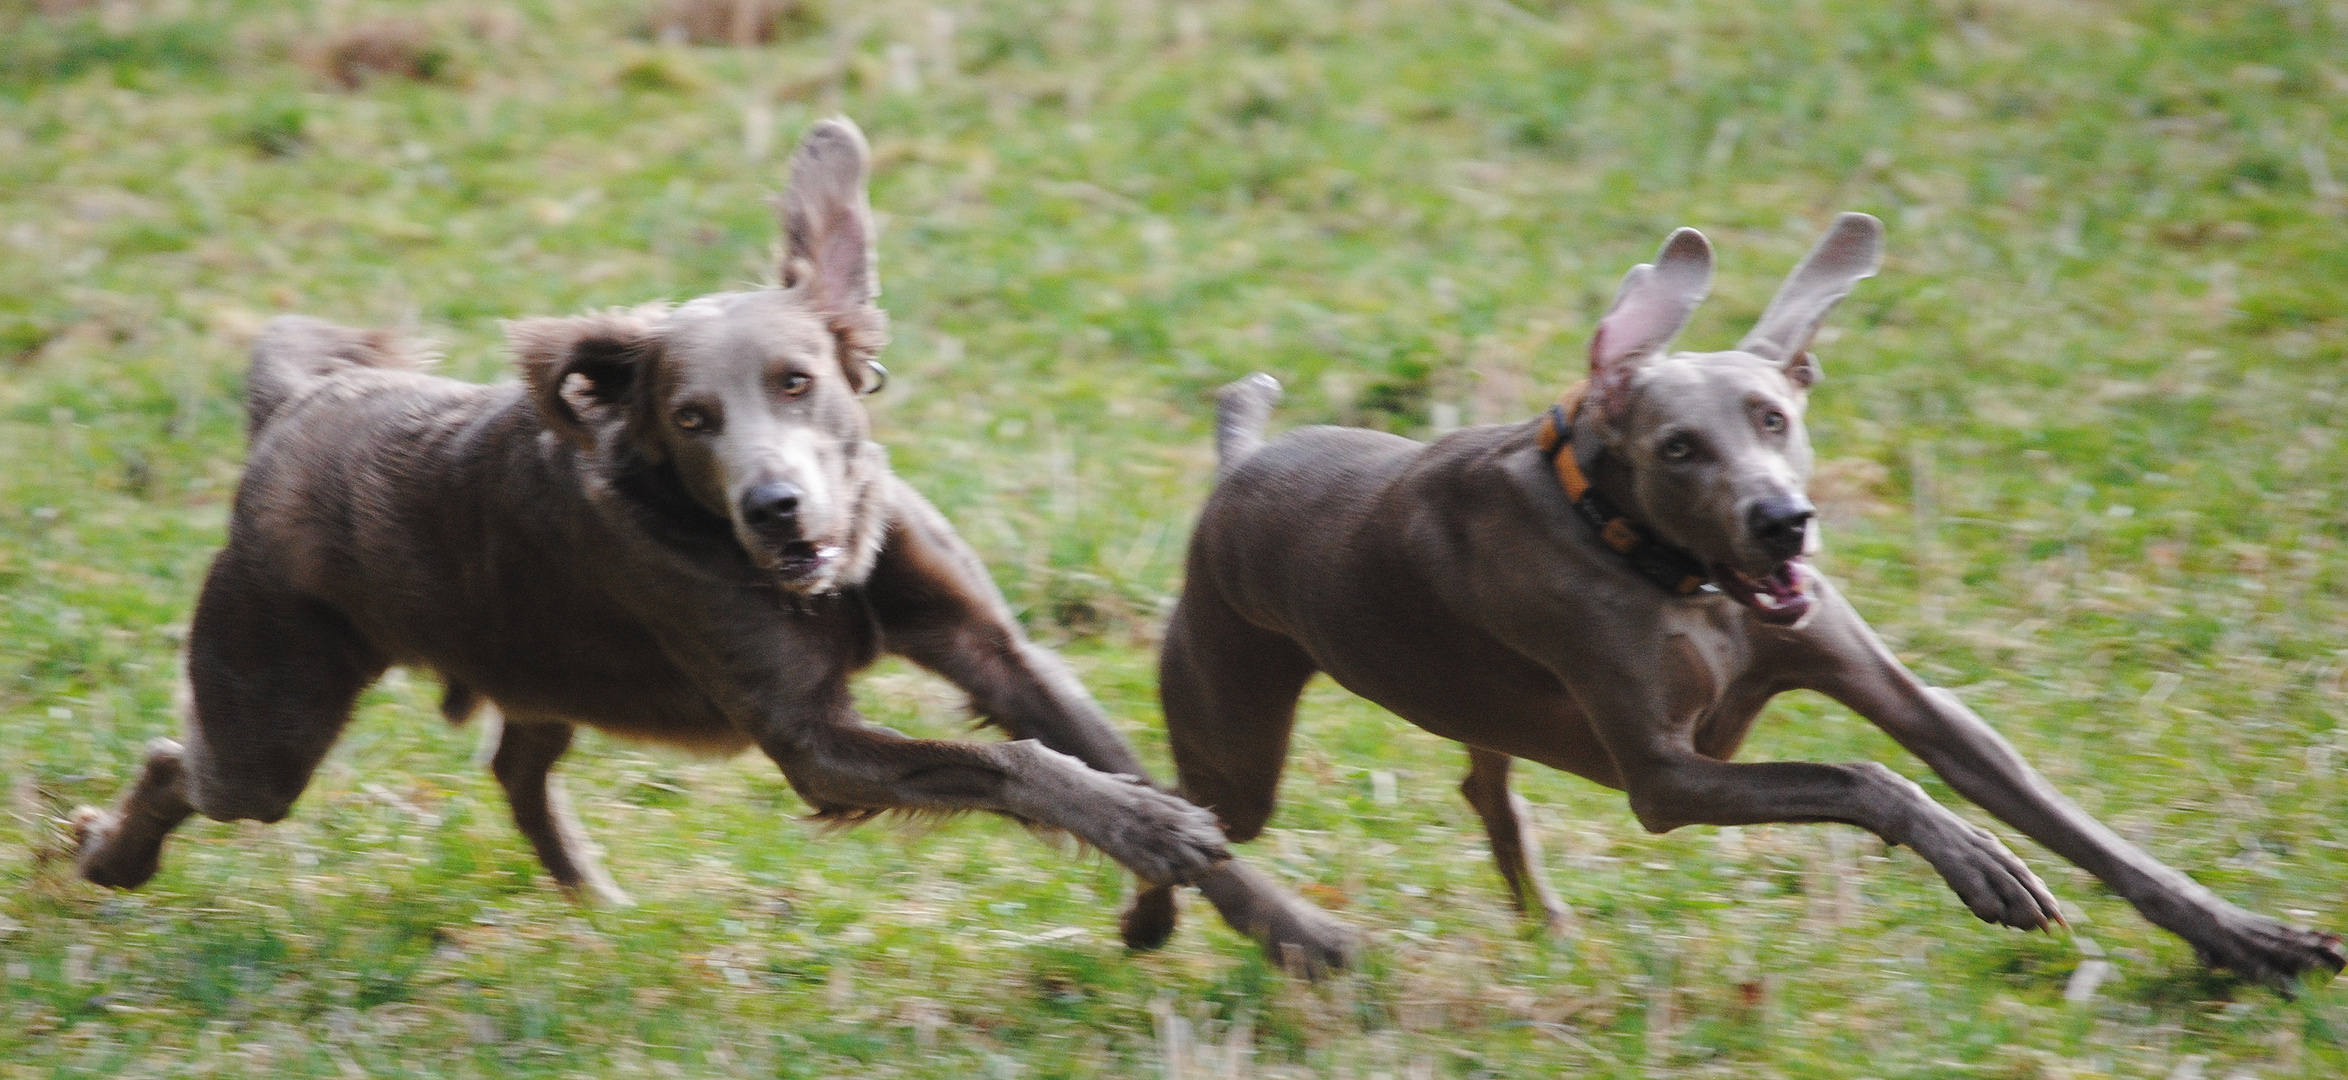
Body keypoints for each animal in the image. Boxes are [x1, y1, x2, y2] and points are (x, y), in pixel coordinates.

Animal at [68, 117, 1361, 962]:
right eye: (692, 418)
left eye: (797, 381)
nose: (774, 507)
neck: (824, 582)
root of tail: (295, 410)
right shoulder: (813, 740)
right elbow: (1024, 770)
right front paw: (1152, 840)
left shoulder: (995, 650)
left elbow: (1111, 764)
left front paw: (1271, 918)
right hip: (272, 716)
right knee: (186, 762)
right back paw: (106, 854)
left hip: (544, 664)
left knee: (513, 769)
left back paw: (590, 894)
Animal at [1122, 214, 2348, 990]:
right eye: (1678, 446)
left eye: (1773, 417)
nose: (1782, 522)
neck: (1670, 571)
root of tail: (1241, 462)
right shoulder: (1666, 778)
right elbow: (1857, 776)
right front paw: (1976, 862)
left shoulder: (1919, 707)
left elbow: (2084, 831)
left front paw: (2249, 939)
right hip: (1237, 745)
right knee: (1184, 807)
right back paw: (1149, 898)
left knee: (1481, 787)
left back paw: (1542, 918)